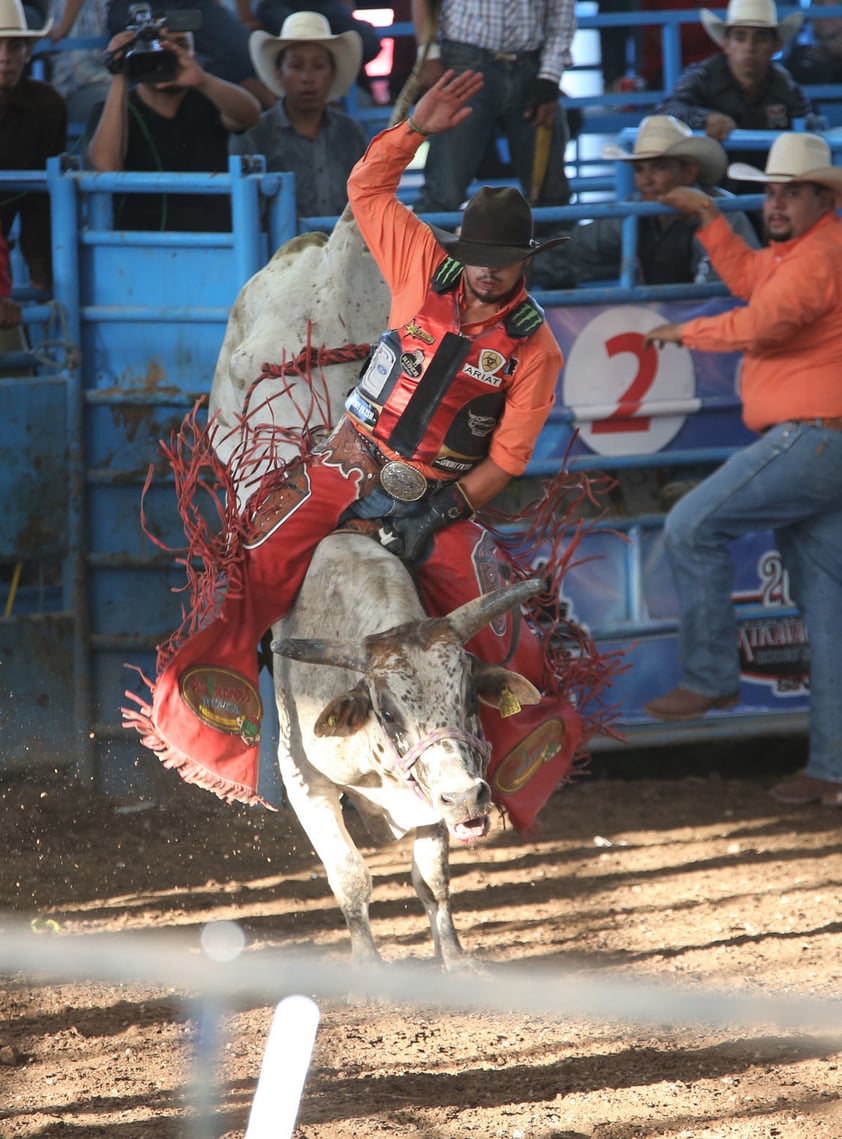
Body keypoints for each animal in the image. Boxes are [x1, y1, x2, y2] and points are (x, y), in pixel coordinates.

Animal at [273, 533, 542, 970]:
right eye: (386, 711)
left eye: (471, 695)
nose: (466, 798)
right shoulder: (303, 779)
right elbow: (350, 876)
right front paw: (368, 966)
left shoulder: (433, 801)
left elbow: (432, 880)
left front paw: (453, 957)